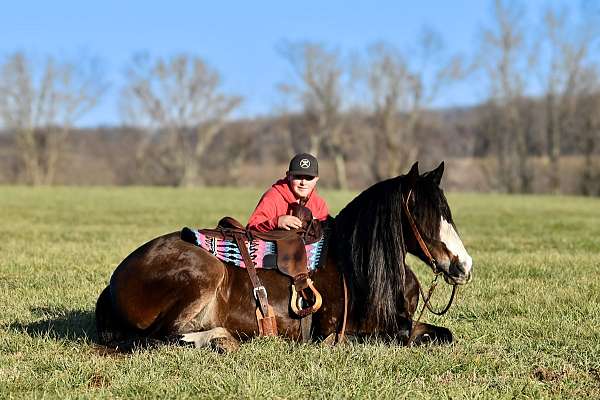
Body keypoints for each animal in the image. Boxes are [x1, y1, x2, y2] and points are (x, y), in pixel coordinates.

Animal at [95, 161, 474, 352]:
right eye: (422, 214)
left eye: (447, 210)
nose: (463, 266)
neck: (355, 267)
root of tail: (114, 281)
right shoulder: (335, 329)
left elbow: (442, 334)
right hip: (203, 274)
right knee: (160, 338)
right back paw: (219, 339)